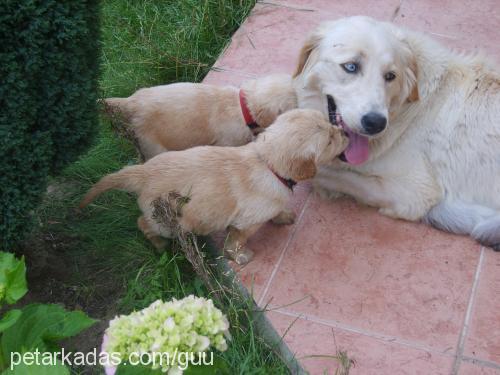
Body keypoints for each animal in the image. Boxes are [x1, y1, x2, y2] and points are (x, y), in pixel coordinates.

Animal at [81, 109, 348, 264]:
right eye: (330, 141)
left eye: (331, 125)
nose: (345, 132)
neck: (267, 161)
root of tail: (144, 171)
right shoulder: (245, 223)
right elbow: (237, 242)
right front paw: (240, 257)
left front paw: (282, 215)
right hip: (167, 221)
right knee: (143, 224)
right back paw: (160, 246)